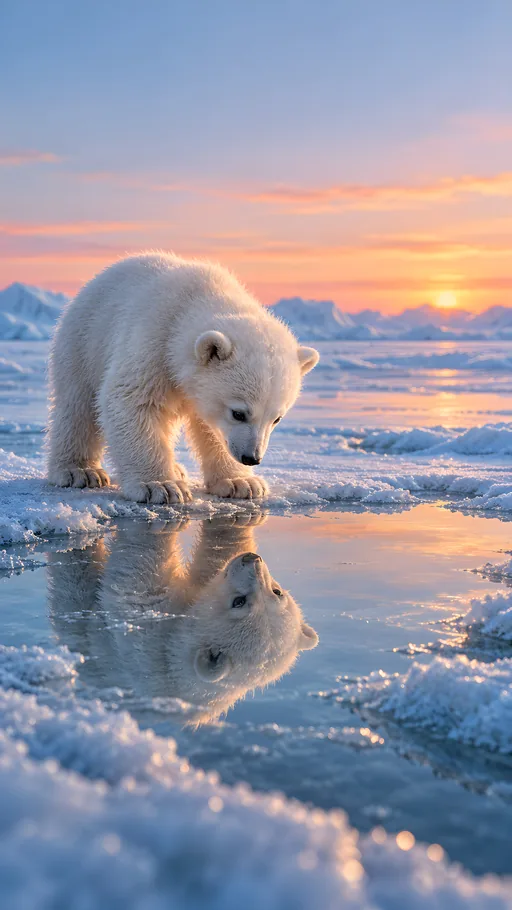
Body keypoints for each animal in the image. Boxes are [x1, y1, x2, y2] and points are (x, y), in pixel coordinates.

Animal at [47, 252, 319, 503]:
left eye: (277, 418)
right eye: (238, 413)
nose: (251, 458)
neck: (196, 300)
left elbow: (211, 428)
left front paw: (242, 483)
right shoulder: (153, 341)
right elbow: (131, 401)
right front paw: (160, 486)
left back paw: (177, 469)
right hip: (84, 341)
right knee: (78, 406)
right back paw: (79, 471)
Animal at [47, 515, 319, 724]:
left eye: (238, 601)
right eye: (277, 592)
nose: (251, 558)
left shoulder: (150, 635)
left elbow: (138, 571)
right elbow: (213, 557)